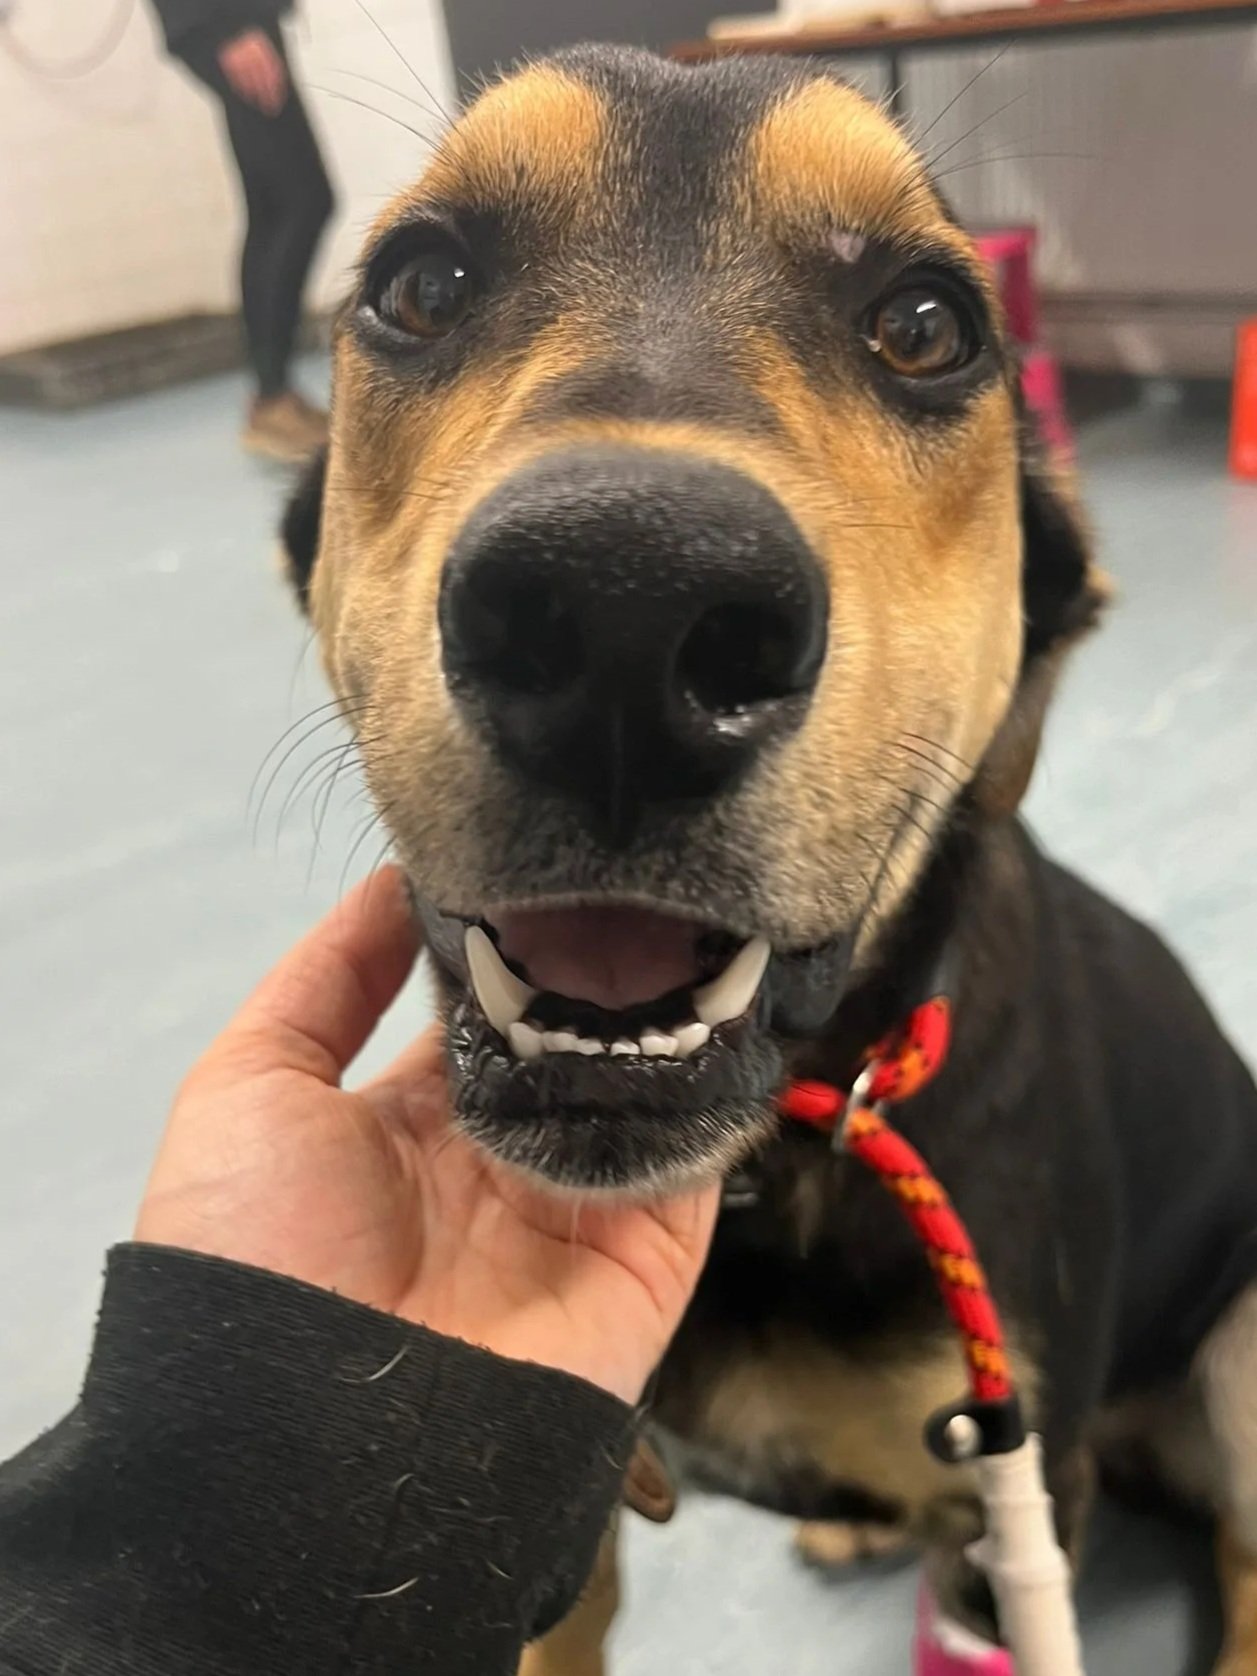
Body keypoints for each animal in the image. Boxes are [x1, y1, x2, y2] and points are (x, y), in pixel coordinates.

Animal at [279, 45, 1257, 1674]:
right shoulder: (565, 1521)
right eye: (421, 284)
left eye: (926, 326)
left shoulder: (999, 1505)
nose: (625, 603)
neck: (762, 1163)